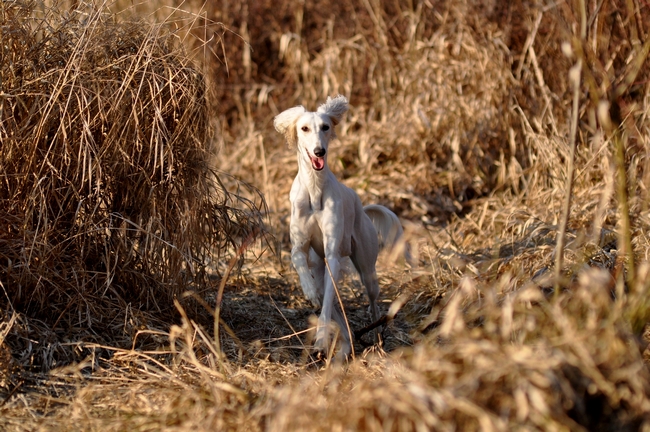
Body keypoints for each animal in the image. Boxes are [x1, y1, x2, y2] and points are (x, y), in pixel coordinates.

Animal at [272, 96, 404, 360]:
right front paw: (310, 291)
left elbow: (327, 303)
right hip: (320, 263)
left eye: (325, 127)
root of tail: (362, 207)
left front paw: (322, 340)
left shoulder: (332, 255)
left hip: (367, 270)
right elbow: (300, 263)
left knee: (373, 303)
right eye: (304, 128)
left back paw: (376, 339)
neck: (314, 190)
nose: (319, 151)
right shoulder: (300, 247)